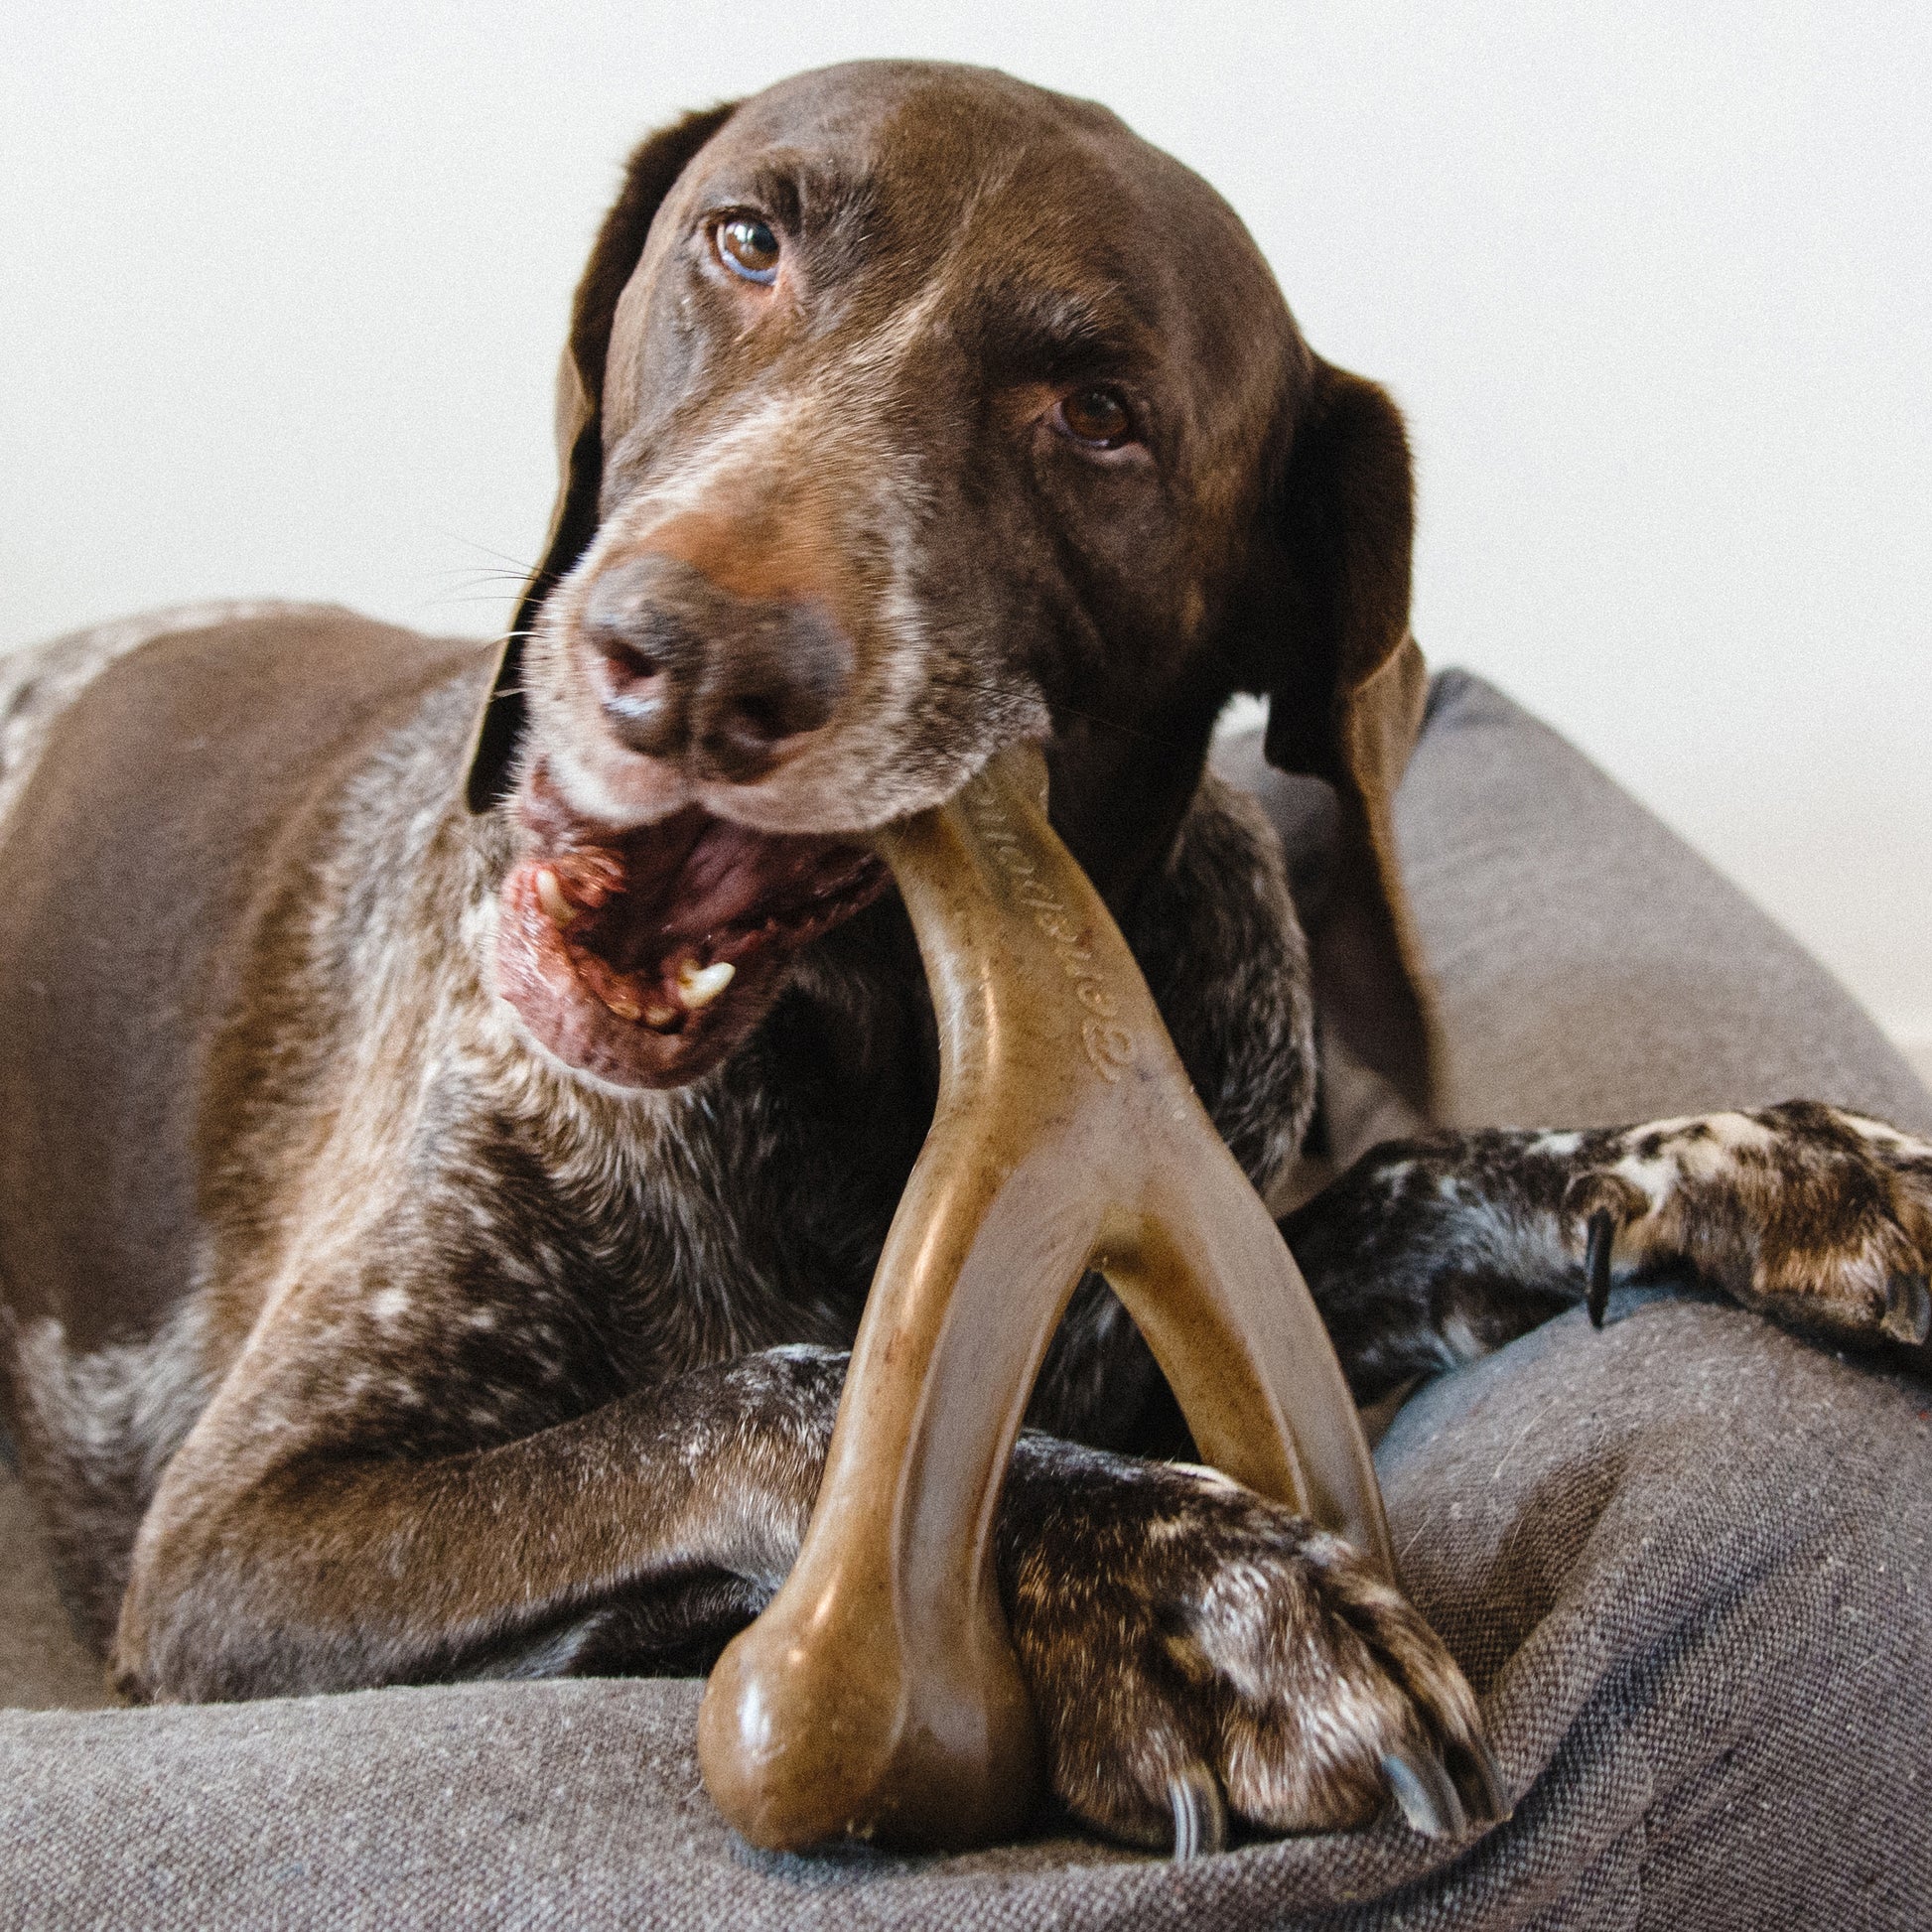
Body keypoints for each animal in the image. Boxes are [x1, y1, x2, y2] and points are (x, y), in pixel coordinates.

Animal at [3, 53, 1932, 1847]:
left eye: (1098, 416)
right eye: (746, 242)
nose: (684, 656)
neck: (855, 1082)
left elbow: (1413, 1179)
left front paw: (1769, 1166)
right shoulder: (242, 1538)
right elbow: (803, 1402)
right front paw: (1190, 1591)